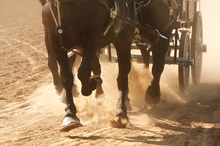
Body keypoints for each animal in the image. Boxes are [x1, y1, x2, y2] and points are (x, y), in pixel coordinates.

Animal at [39, 0, 136, 132]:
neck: (69, 4)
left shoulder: (93, 37)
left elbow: (83, 71)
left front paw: (90, 84)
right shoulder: (54, 39)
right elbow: (66, 77)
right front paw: (69, 115)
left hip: (123, 38)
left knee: (122, 78)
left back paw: (121, 113)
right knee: (95, 66)